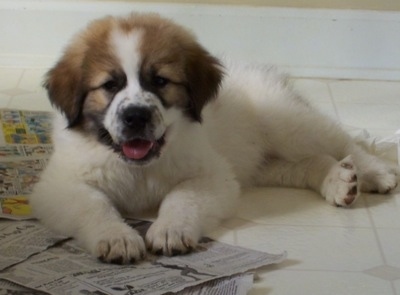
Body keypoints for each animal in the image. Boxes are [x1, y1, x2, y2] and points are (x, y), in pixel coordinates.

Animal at [28, 12, 400, 264]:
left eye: (160, 81)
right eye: (109, 85)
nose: (136, 116)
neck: (140, 167)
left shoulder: (212, 174)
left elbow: (181, 196)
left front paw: (170, 230)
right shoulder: (60, 184)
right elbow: (94, 204)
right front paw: (117, 237)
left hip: (286, 122)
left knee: (341, 142)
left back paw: (373, 173)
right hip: (261, 163)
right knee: (308, 161)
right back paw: (339, 181)